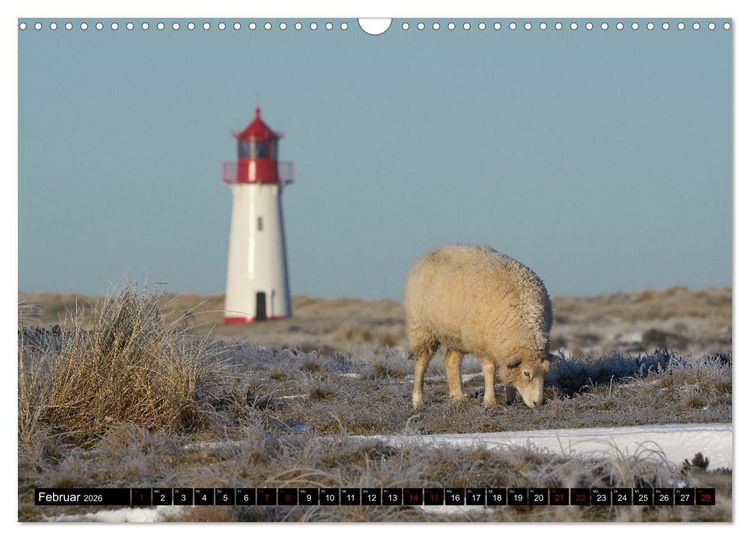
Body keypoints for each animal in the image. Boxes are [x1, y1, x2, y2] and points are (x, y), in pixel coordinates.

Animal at [404, 244, 554, 409]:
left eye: (545, 373)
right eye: (526, 374)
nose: (537, 403)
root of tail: (429, 253)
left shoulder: (501, 346)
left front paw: (510, 399)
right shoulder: (483, 345)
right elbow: (489, 369)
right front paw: (490, 401)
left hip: (457, 336)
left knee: (450, 362)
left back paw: (458, 397)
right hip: (422, 329)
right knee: (421, 363)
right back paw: (418, 400)